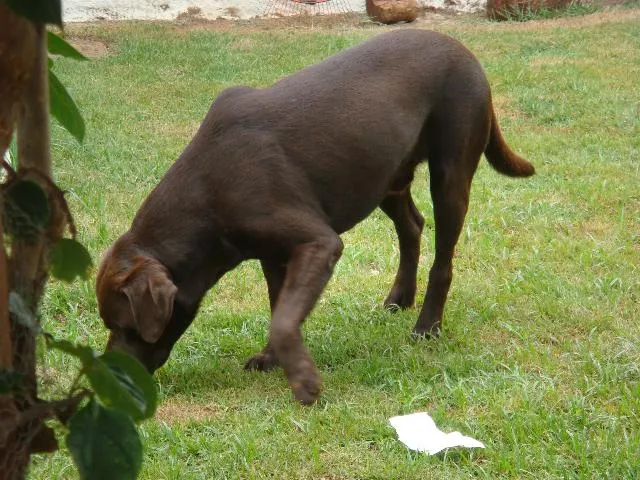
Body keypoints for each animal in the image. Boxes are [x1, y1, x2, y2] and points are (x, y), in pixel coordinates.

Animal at [96, 30, 536, 404]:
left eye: (123, 326)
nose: (111, 378)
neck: (207, 191)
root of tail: (462, 47)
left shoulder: (319, 243)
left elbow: (283, 319)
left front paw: (304, 382)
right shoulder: (274, 254)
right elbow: (279, 308)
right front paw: (272, 359)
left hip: (449, 173)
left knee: (442, 258)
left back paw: (427, 326)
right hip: (383, 176)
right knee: (411, 226)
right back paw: (400, 297)